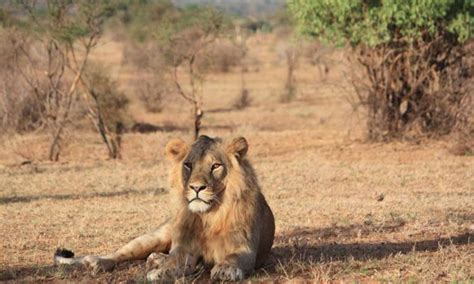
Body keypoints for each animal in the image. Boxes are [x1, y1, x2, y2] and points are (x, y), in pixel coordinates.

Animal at [54, 136, 278, 282]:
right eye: (188, 165)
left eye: (215, 166)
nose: (197, 188)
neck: (208, 217)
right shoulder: (184, 249)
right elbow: (174, 262)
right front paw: (160, 273)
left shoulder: (245, 249)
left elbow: (233, 258)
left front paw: (225, 270)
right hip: (153, 238)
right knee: (117, 254)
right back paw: (98, 262)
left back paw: (155, 259)